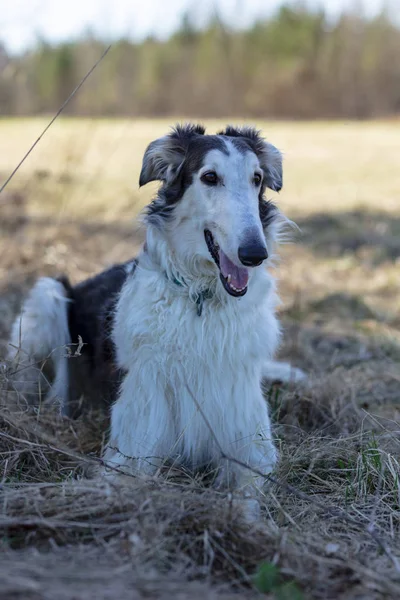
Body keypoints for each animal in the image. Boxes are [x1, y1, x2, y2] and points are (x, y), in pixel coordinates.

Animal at [8, 125, 304, 496]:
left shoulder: (252, 445)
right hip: (50, 295)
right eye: (210, 177)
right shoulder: (132, 448)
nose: (254, 254)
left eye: (257, 178)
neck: (201, 298)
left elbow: (248, 493)